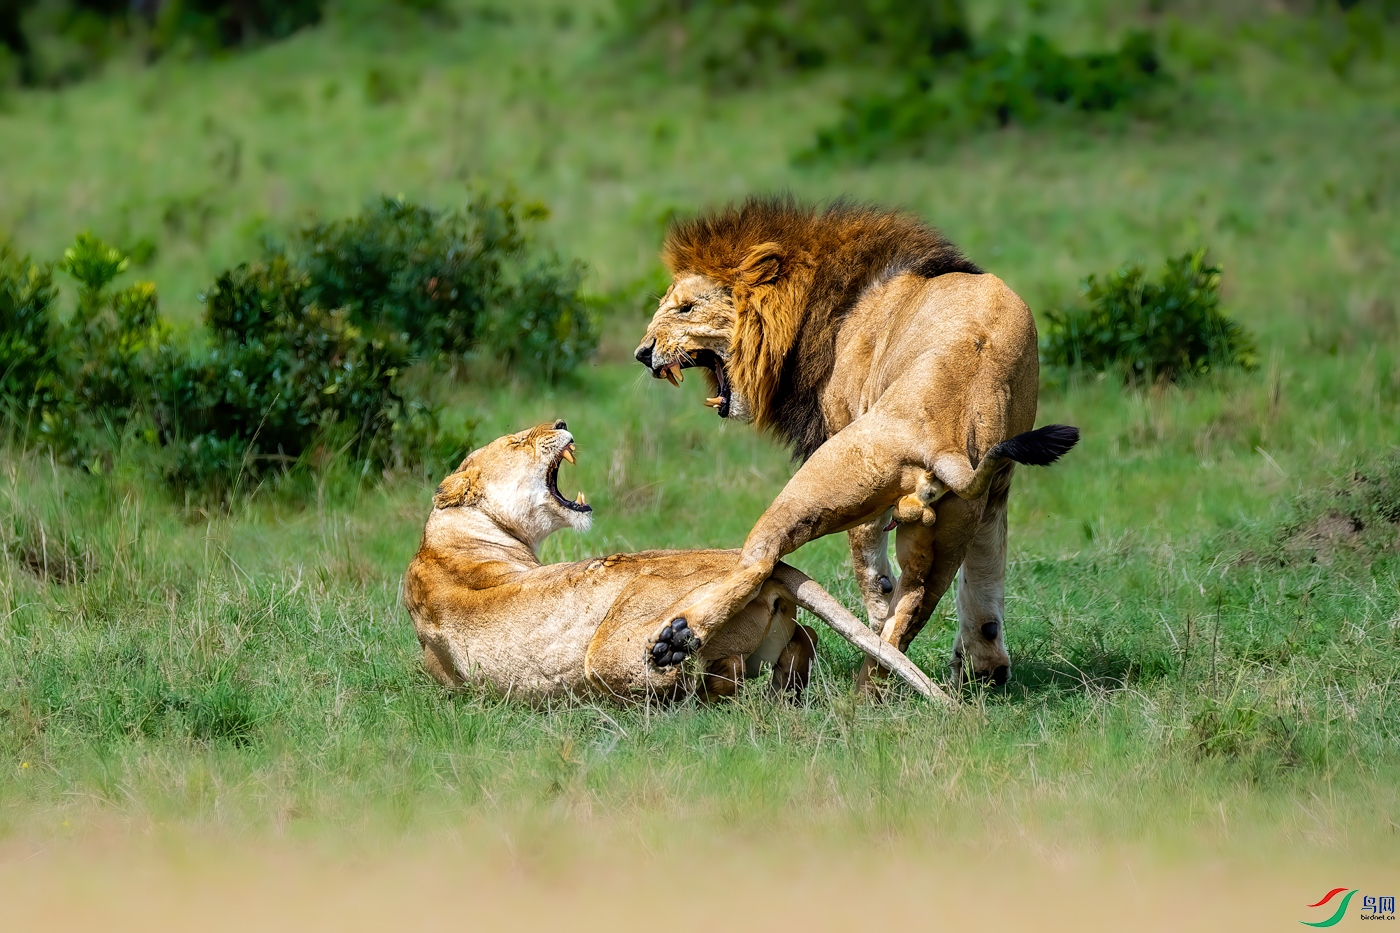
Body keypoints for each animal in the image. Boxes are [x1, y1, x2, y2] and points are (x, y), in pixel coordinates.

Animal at [633, 197, 1079, 687]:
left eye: (685, 308)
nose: (642, 353)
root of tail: (944, 437)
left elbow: (871, 571)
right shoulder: (996, 495)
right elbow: (984, 575)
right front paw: (984, 666)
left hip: (824, 479)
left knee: (762, 559)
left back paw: (677, 638)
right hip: (952, 520)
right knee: (915, 604)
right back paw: (873, 687)